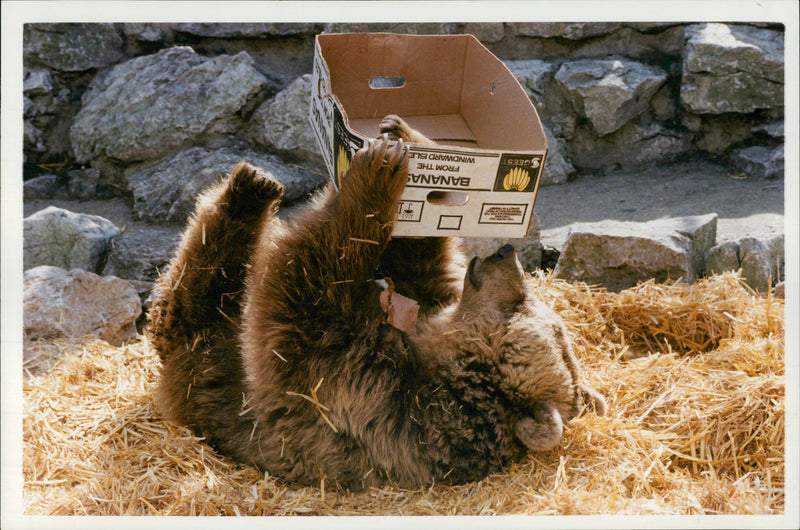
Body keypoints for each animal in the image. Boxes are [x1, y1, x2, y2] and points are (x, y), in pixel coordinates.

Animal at [147, 113, 604, 488]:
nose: (505, 254)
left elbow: (306, 298)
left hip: (204, 361)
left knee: (198, 292)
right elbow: (419, 255)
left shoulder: (372, 398)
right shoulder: (425, 296)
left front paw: (379, 169)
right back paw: (257, 183)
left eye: (521, 304)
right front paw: (404, 140)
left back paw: (249, 191)